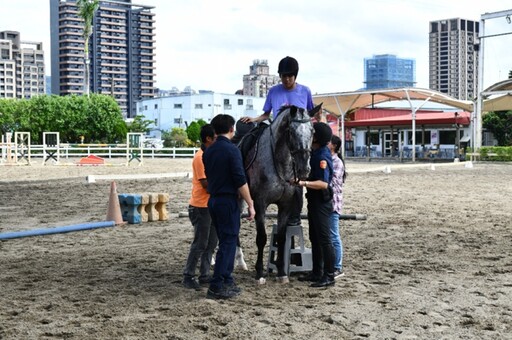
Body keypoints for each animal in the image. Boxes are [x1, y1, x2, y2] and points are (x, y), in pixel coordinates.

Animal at [238, 105, 318, 282]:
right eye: (291, 131)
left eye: (313, 130)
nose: (304, 169)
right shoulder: (260, 204)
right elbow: (261, 238)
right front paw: (259, 273)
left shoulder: (285, 205)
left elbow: (281, 238)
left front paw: (282, 272)